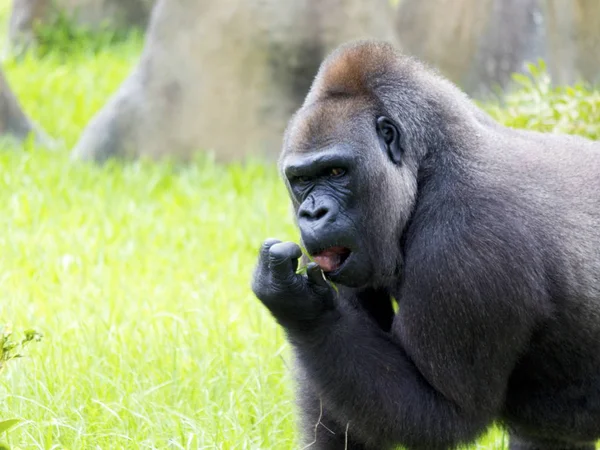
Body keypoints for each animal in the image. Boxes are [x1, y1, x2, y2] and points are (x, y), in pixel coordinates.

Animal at [250, 39, 600, 450]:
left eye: (336, 171)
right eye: (302, 179)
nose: (312, 213)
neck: (428, 165)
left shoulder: (466, 247)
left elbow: (441, 414)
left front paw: (298, 305)